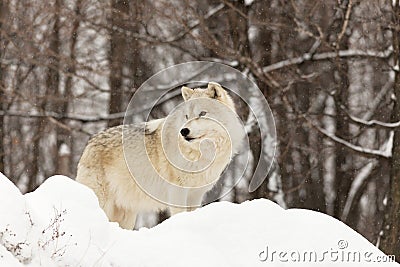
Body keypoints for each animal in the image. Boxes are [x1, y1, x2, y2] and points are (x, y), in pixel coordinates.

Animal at [75, 82, 244, 230]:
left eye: (202, 113)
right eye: (186, 116)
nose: (184, 131)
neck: (200, 153)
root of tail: (90, 142)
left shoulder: (196, 194)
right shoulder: (177, 191)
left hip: (127, 214)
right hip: (104, 203)